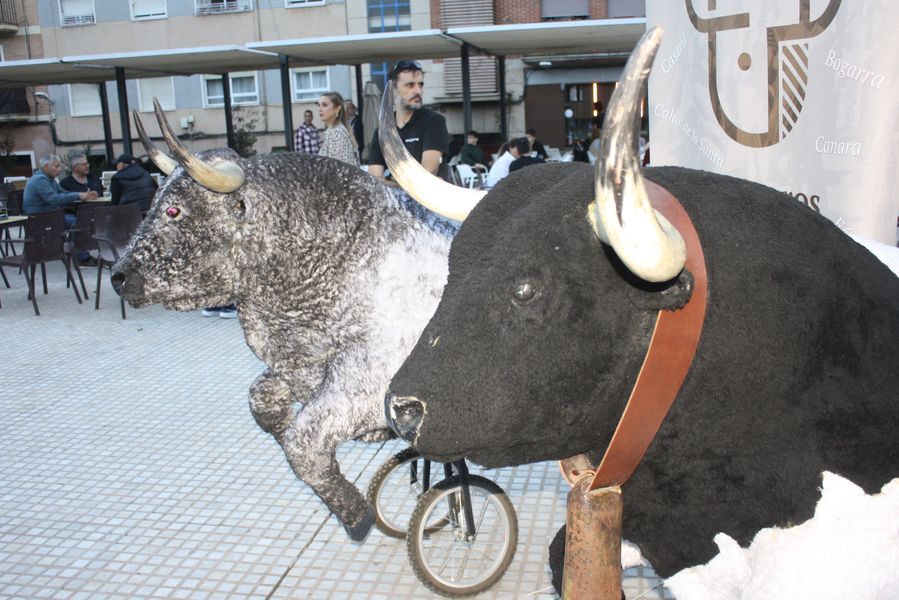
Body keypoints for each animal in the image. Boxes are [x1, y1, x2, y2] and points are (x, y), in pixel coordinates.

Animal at [110, 100, 481, 541]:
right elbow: (263, 402)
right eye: (154, 204)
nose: (118, 276)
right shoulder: (300, 368)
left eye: (174, 209)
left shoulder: (372, 381)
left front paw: (356, 515)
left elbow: (302, 441)